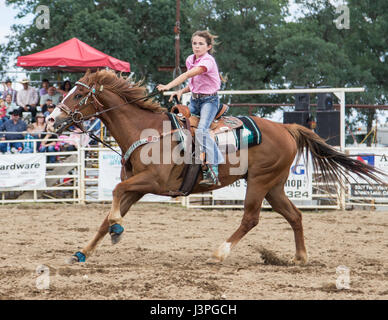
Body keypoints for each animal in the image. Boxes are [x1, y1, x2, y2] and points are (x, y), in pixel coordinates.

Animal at [46, 70, 384, 264]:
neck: (147, 132)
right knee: (295, 216)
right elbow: (108, 214)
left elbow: (115, 193)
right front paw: (83, 252)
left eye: (78, 94)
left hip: (259, 182)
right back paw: (300, 258)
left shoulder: (154, 182)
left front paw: (117, 228)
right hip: (274, 185)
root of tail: (287, 129)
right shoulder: (137, 187)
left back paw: (221, 252)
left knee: (251, 218)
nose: (50, 119)